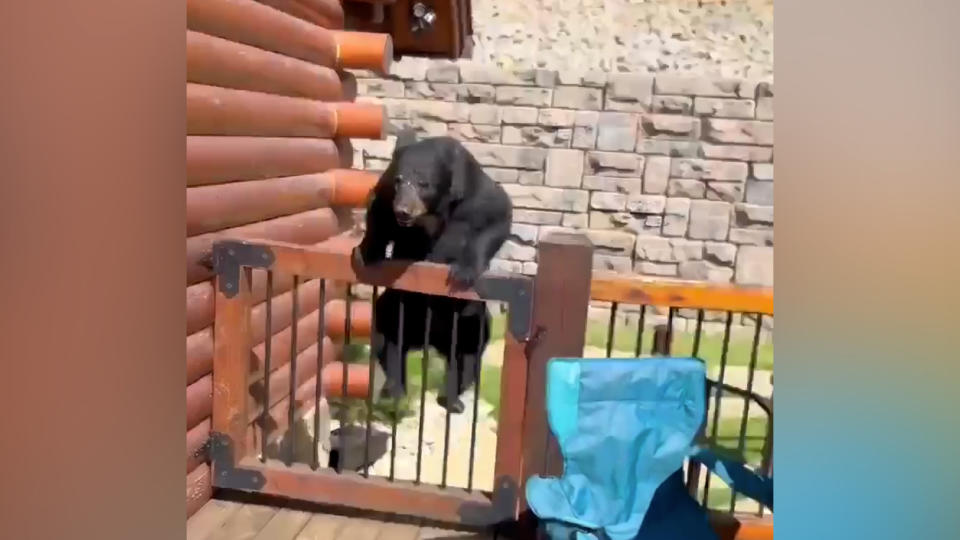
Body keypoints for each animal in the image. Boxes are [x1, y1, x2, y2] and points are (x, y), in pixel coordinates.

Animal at [352, 134, 512, 414]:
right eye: (400, 180)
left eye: (423, 184)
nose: (403, 210)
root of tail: (431, 340)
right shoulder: (387, 189)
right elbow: (377, 211)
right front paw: (366, 253)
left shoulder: (475, 193)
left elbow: (497, 217)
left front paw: (464, 270)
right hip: (400, 307)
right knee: (387, 336)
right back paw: (394, 390)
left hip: (466, 316)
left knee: (469, 350)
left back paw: (452, 399)